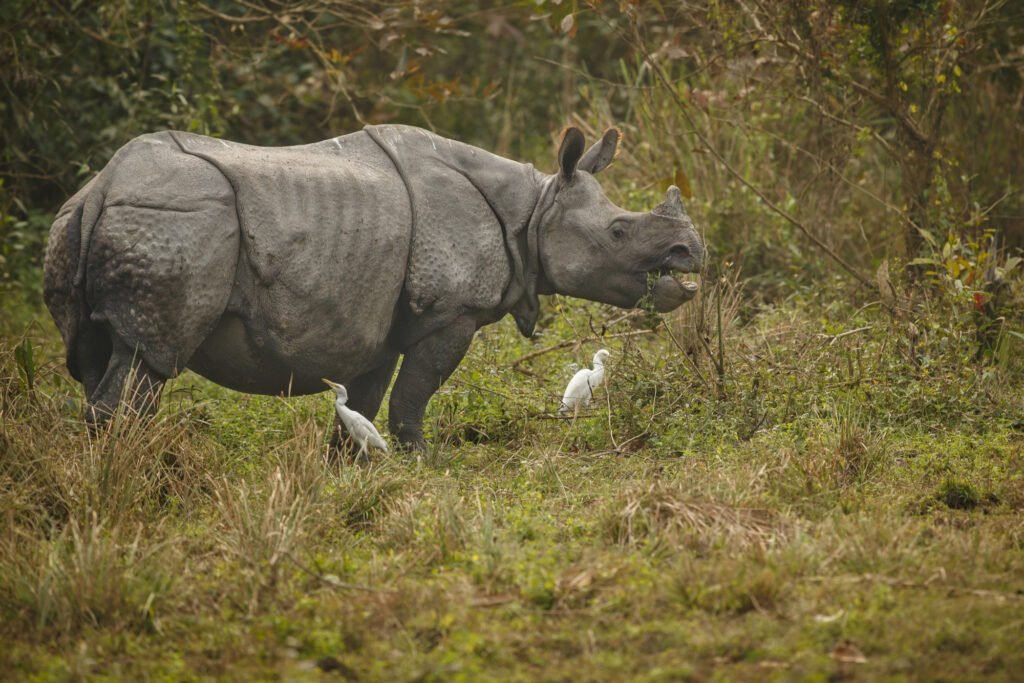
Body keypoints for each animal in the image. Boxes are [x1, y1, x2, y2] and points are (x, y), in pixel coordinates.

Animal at [44, 124, 704, 450]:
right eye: (619, 231)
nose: (691, 254)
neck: (534, 207)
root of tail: (102, 186)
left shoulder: (375, 321)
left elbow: (362, 400)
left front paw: (350, 464)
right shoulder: (451, 310)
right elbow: (415, 394)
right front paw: (423, 460)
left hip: (87, 223)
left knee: (100, 357)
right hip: (175, 220)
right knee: (148, 359)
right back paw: (129, 472)